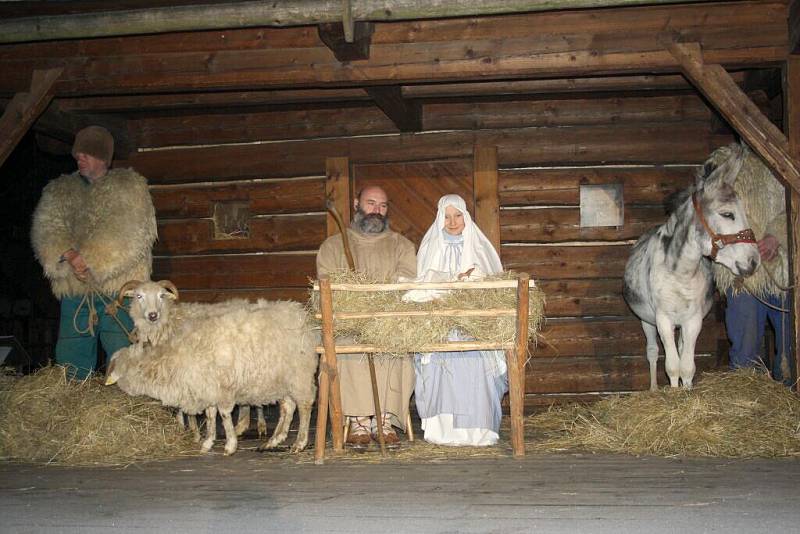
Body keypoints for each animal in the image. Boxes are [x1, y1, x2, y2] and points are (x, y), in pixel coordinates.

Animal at [105, 280, 318, 456]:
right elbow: (210, 414)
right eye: (138, 296)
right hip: (281, 379)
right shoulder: (206, 386)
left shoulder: (221, 387)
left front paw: (229, 445)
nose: (152, 315)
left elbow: (223, 414)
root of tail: (300, 314)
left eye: (161, 296)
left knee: (305, 405)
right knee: (288, 407)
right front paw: (207, 442)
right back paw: (273, 441)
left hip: (299, 375)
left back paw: (299, 443)